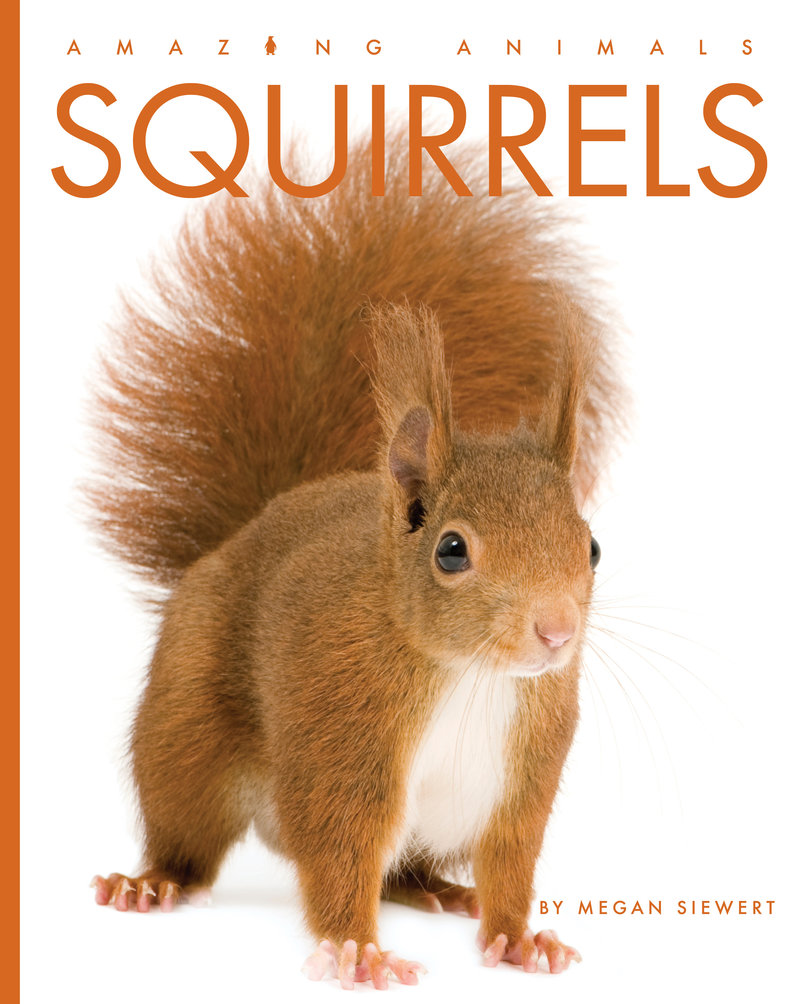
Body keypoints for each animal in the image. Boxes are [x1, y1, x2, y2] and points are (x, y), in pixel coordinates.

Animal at [87, 133, 625, 988]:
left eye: (593, 546)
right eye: (451, 550)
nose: (556, 632)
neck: (469, 675)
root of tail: (253, 526)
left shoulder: (524, 776)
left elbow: (511, 862)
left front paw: (519, 938)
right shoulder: (342, 734)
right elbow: (339, 851)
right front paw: (356, 950)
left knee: (407, 867)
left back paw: (438, 889)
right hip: (185, 733)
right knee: (188, 832)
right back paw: (152, 882)